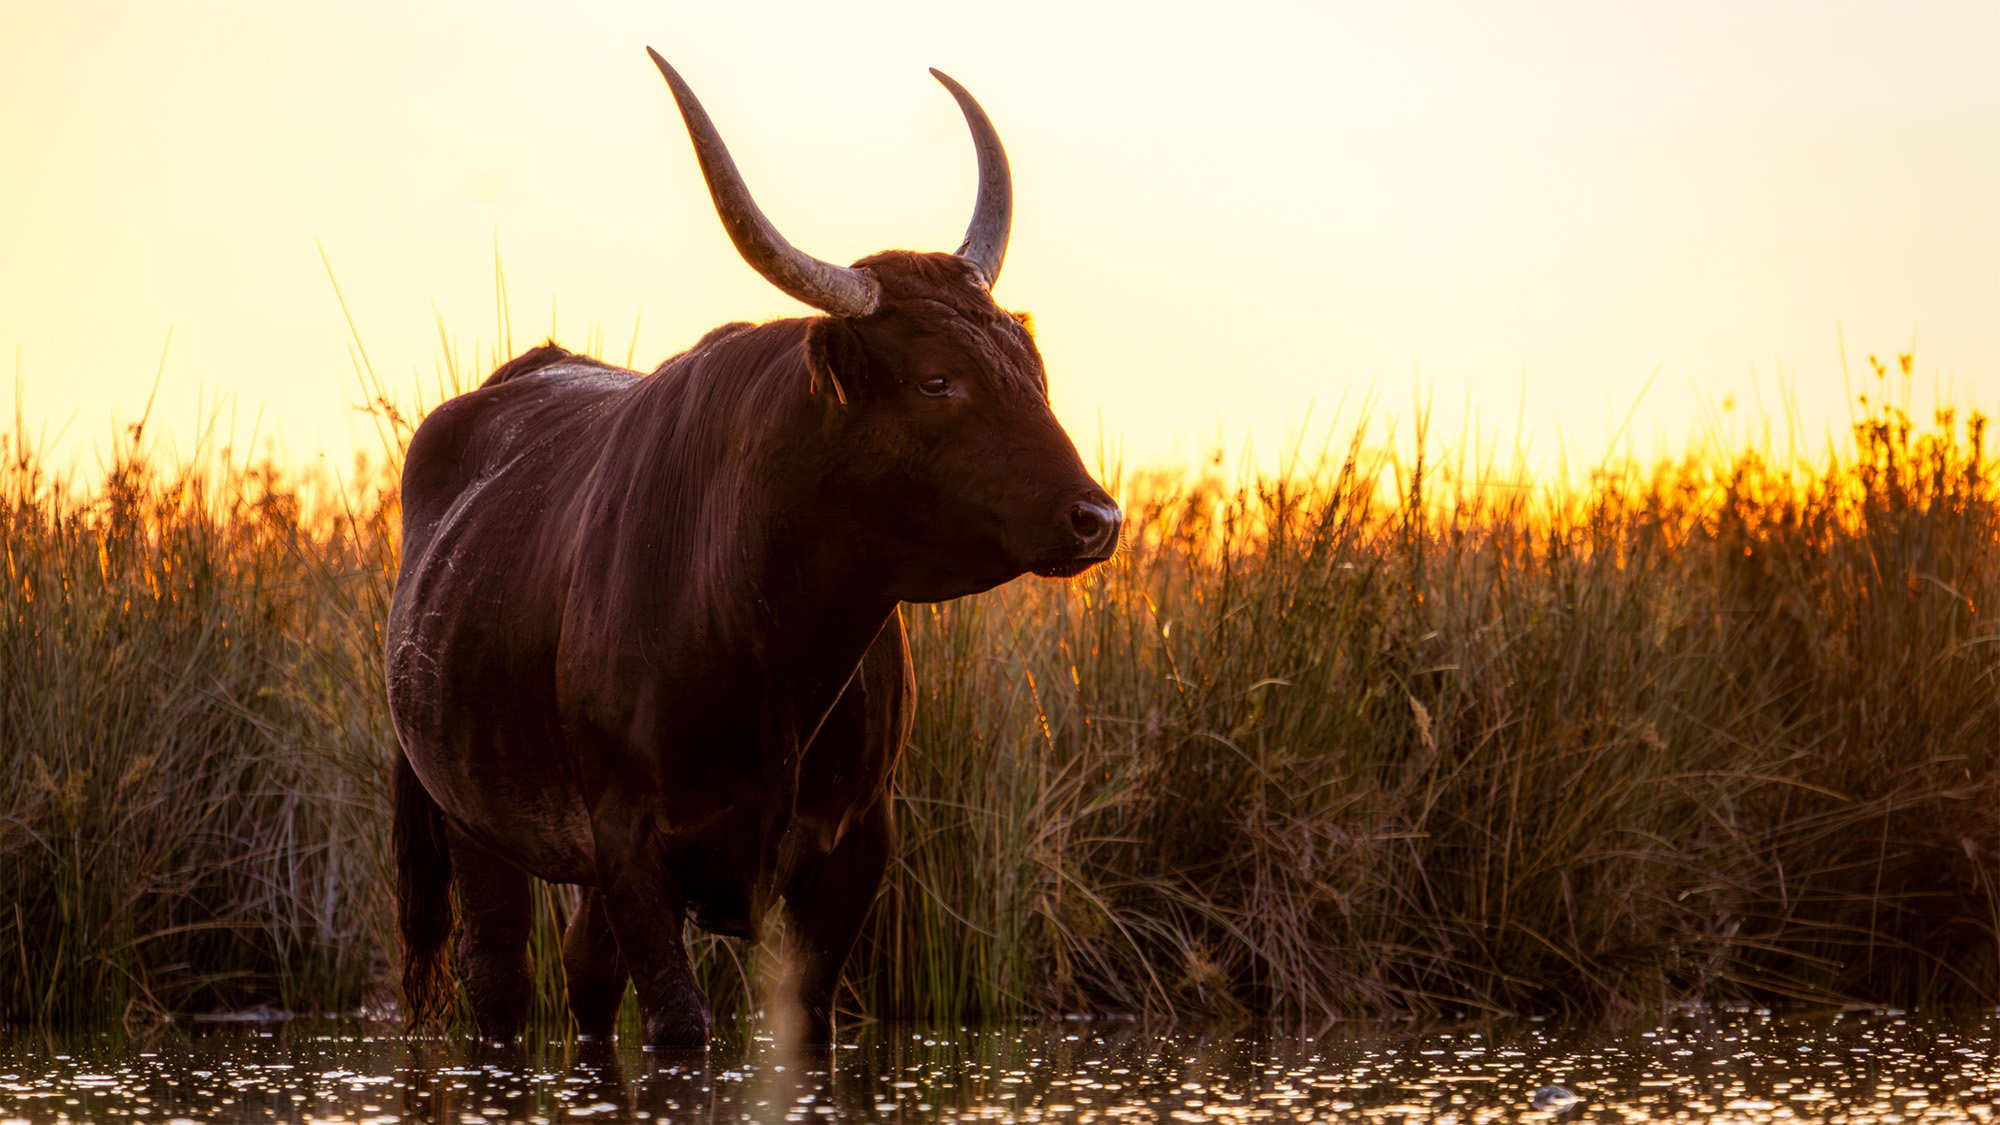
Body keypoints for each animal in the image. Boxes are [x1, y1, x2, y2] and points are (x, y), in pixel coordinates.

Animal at [385, 49, 1121, 1048]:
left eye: (1032, 371)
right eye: (937, 381)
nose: (1097, 517)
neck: (769, 648)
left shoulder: (855, 843)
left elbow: (805, 1019)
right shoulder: (628, 838)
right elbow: (680, 1024)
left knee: (583, 975)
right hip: (473, 817)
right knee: (498, 976)